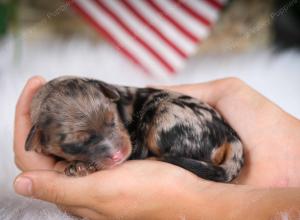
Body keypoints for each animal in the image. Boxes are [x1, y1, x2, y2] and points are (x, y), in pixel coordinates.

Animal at [25, 76, 244, 182]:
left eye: (113, 120)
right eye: (79, 142)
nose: (118, 155)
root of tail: (229, 134)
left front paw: (80, 166)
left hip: (164, 115)